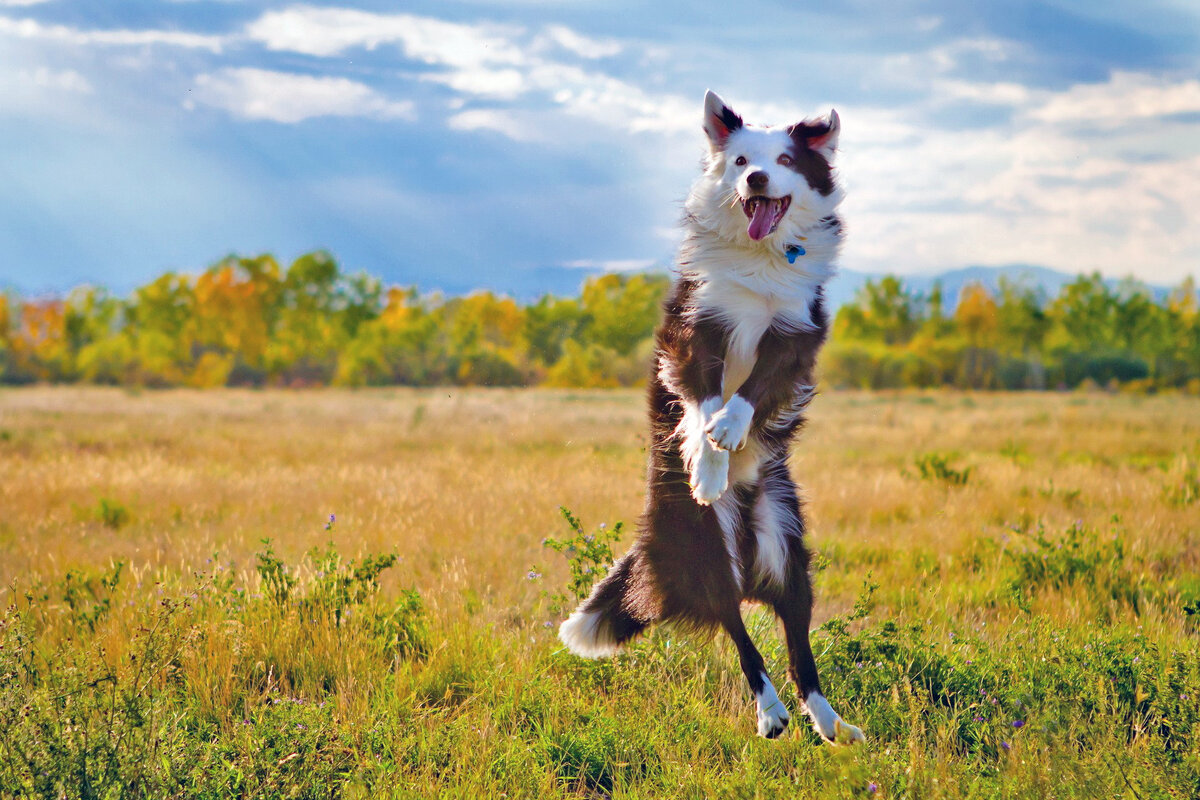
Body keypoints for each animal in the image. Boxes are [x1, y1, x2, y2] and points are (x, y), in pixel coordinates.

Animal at [556, 92, 859, 743]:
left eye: (785, 160)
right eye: (740, 159)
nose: (756, 178)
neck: (760, 257)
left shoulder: (792, 334)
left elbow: (751, 394)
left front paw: (729, 433)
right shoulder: (696, 329)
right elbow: (702, 402)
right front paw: (707, 463)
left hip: (786, 546)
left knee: (797, 643)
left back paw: (829, 722)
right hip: (703, 544)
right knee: (739, 629)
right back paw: (769, 712)